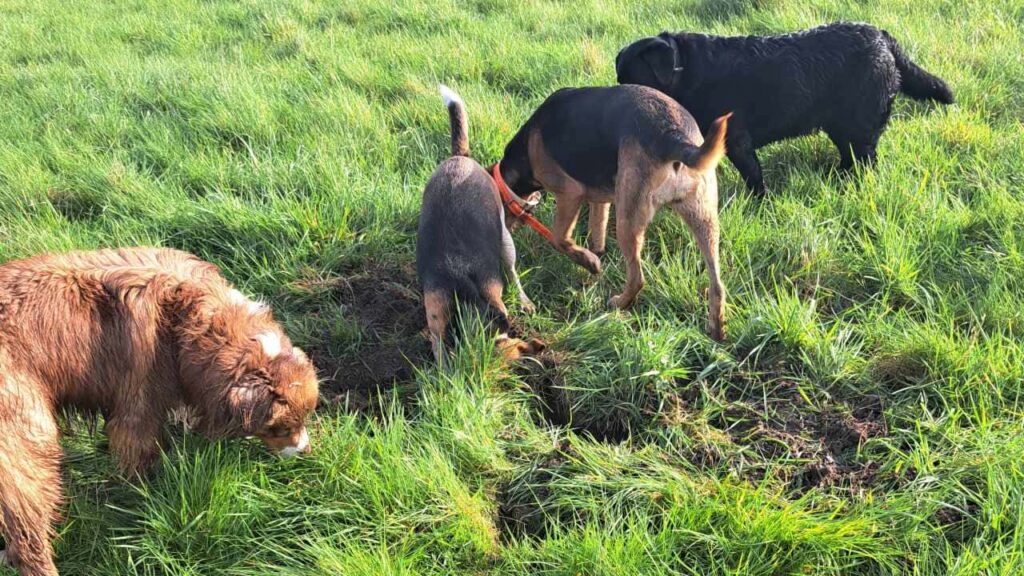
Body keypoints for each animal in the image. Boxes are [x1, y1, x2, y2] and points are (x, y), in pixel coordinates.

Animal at [0, 245, 319, 573]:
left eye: (304, 418)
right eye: (279, 428)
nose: (306, 452)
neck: (184, 319)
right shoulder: (137, 409)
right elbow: (140, 456)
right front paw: (142, 493)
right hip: (27, 444)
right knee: (28, 528)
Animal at [493, 83, 729, 338]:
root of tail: (672, 135)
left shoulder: (570, 193)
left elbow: (559, 239)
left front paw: (590, 263)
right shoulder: (600, 199)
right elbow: (597, 231)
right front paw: (594, 257)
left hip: (628, 220)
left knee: (637, 278)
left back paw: (619, 303)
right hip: (703, 217)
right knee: (717, 284)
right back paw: (717, 330)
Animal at [610, 22, 954, 192]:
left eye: (633, 82)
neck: (686, 70)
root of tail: (882, 37)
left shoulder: (737, 140)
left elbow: (753, 176)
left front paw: (759, 204)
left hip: (861, 124)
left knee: (866, 160)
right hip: (839, 124)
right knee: (849, 156)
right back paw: (838, 176)